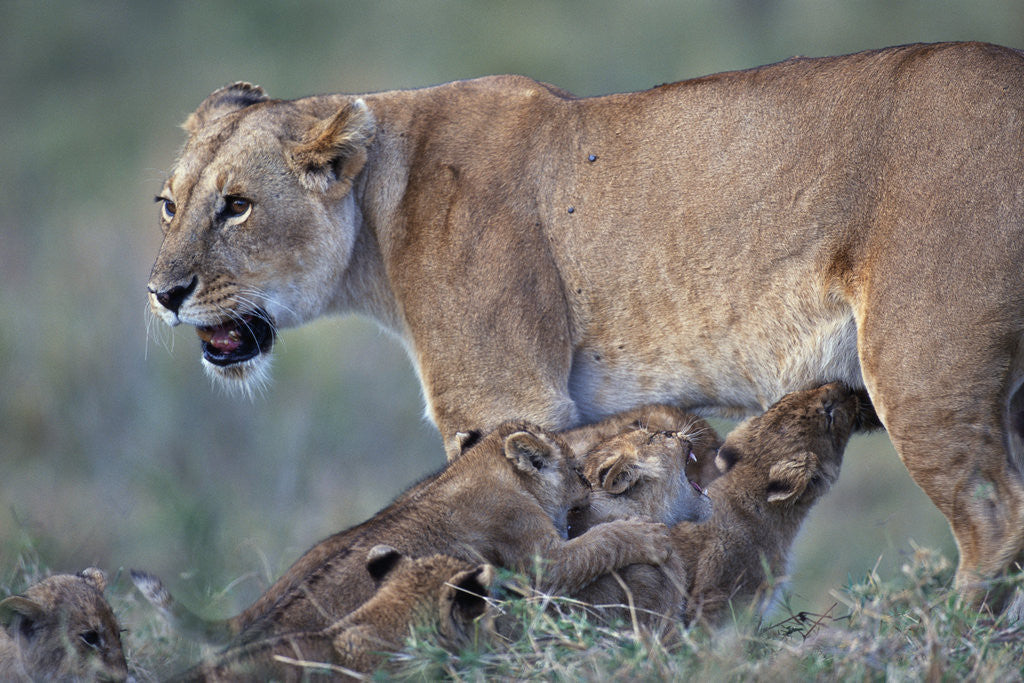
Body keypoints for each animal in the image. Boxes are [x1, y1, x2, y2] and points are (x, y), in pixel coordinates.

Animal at [133, 421, 670, 644]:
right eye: (577, 471)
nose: (588, 485)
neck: (485, 467)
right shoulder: (539, 556)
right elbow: (599, 544)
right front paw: (645, 533)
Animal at [147, 41, 1024, 603]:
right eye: (168, 203)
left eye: (236, 206)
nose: (162, 291)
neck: (379, 206)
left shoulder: (508, 397)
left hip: (923, 371)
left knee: (996, 526)